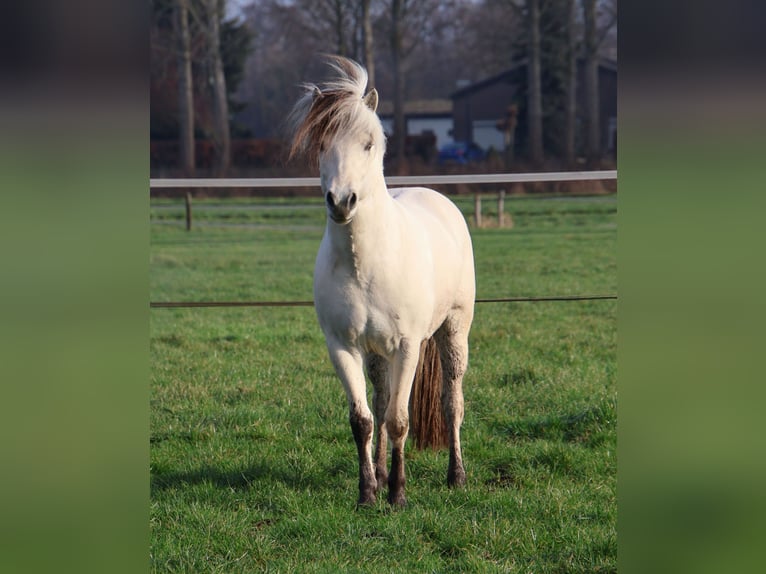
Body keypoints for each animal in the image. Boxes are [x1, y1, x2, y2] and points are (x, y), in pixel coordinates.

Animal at [288, 56, 475, 507]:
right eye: (322, 144)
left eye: (369, 143)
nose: (342, 201)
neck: (365, 264)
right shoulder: (342, 347)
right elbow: (364, 419)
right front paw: (368, 492)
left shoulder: (408, 346)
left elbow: (400, 420)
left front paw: (398, 496)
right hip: (376, 353)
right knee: (380, 398)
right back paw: (379, 470)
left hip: (453, 331)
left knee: (451, 403)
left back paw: (456, 476)